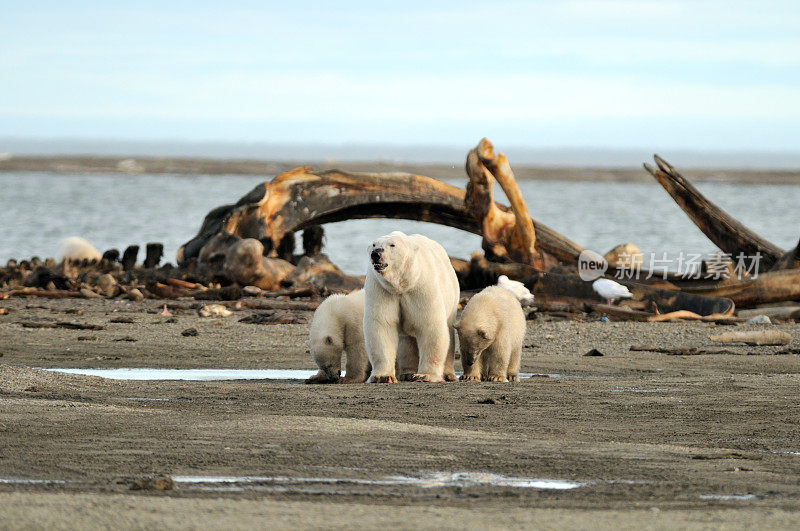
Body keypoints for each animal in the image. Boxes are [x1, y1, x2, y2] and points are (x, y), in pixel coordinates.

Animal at [366, 232, 460, 382]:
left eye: (392, 245)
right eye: (374, 244)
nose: (375, 253)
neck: (403, 283)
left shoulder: (422, 286)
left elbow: (430, 326)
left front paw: (425, 375)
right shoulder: (381, 288)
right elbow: (382, 325)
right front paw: (382, 376)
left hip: (452, 294)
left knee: (448, 332)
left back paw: (448, 374)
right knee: (406, 340)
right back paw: (407, 373)